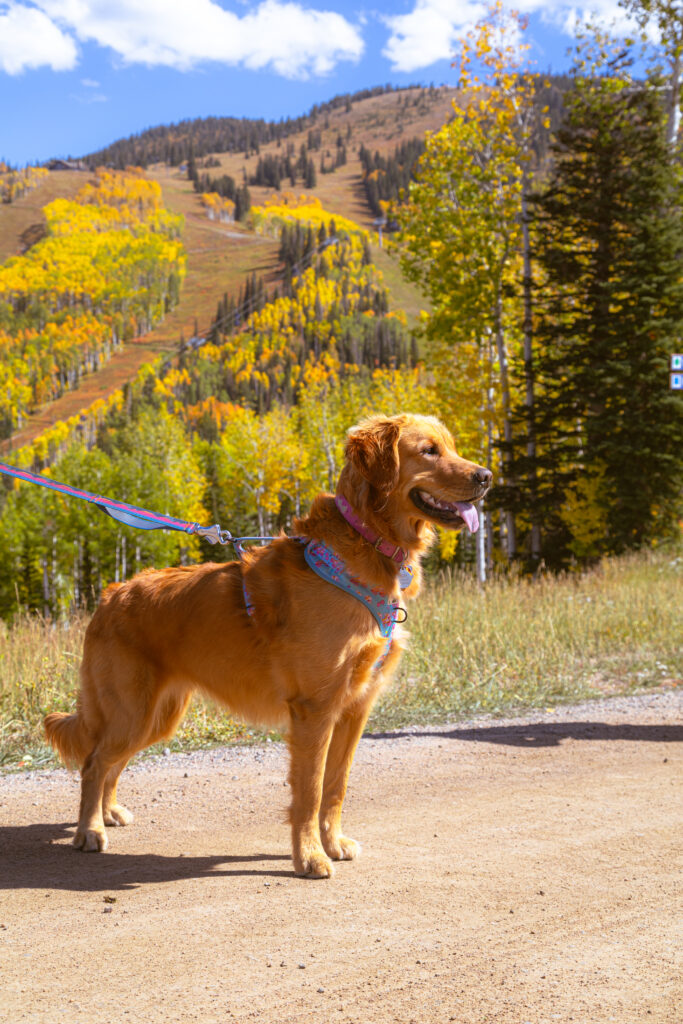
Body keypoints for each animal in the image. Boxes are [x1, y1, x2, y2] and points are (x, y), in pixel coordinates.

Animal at [44, 411, 491, 876]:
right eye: (429, 451)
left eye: (452, 447)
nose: (487, 477)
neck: (366, 544)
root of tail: (111, 594)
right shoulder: (315, 710)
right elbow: (310, 791)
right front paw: (310, 855)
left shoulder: (355, 708)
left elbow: (336, 786)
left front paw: (332, 842)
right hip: (132, 711)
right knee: (94, 762)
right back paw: (89, 831)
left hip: (155, 718)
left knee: (110, 762)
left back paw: (108, 812)